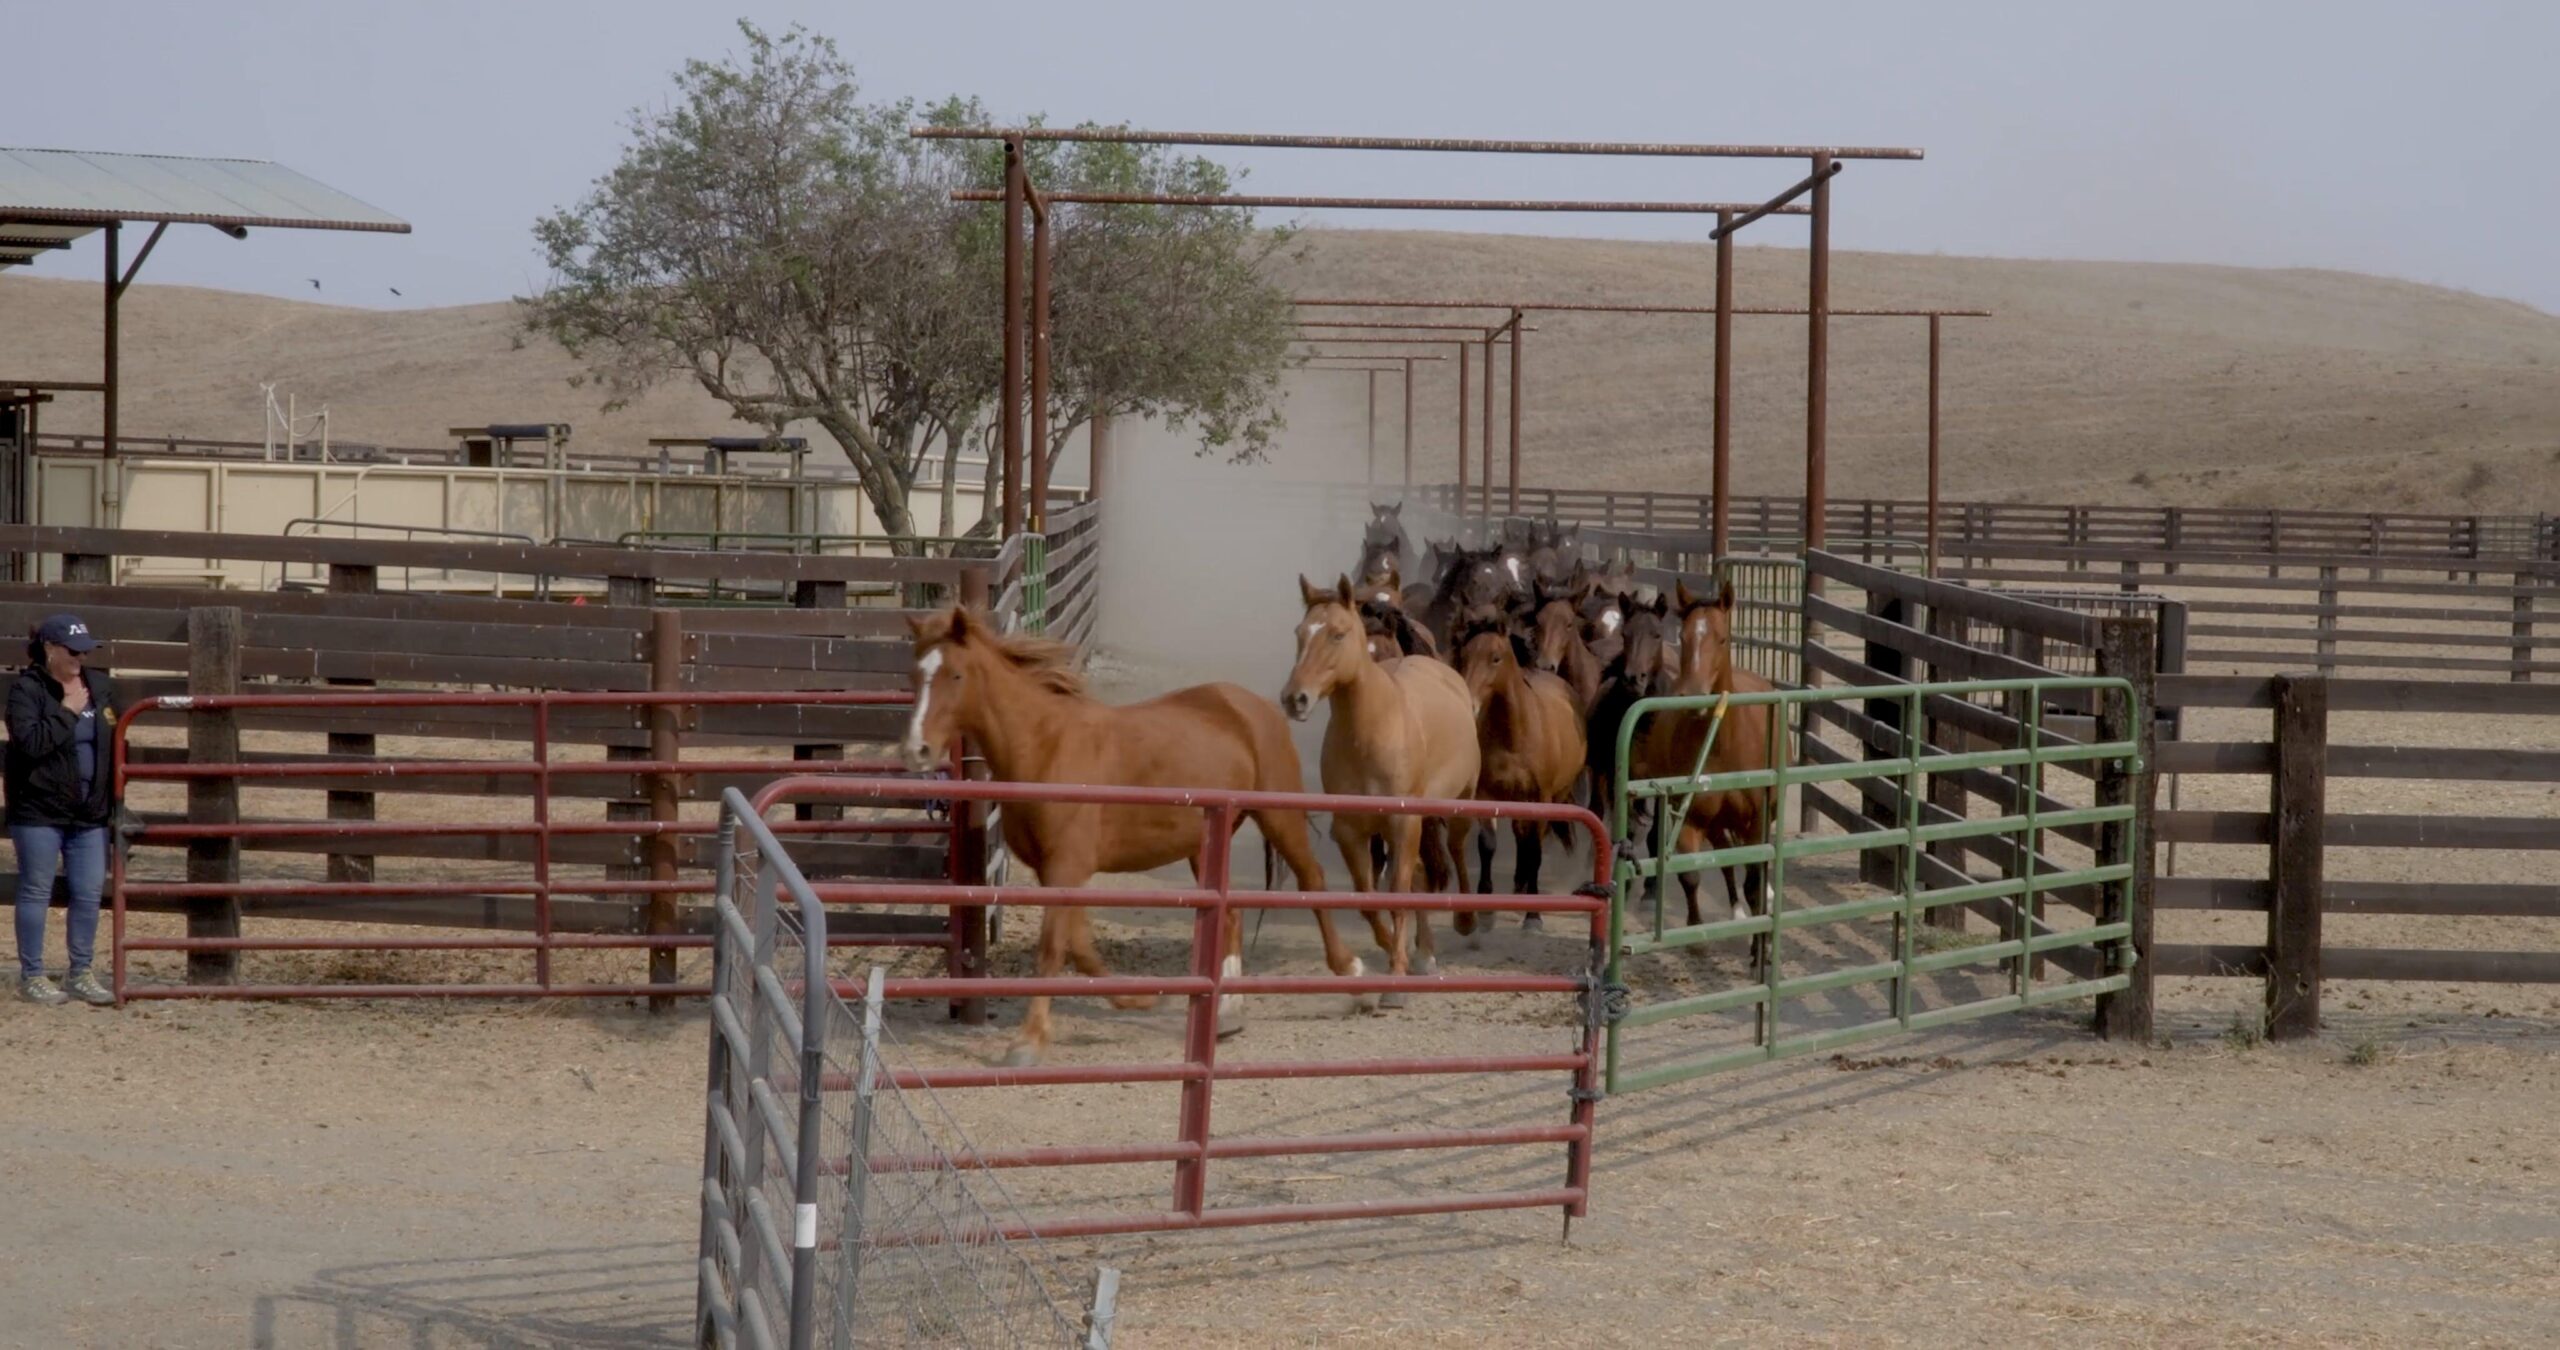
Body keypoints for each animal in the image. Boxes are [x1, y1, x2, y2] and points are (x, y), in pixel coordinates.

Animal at [896, 604, 1351, 1065]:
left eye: (955, 675)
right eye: (915, 674)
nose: (916, 750)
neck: (1047, 746)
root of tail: (1254, 705)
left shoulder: (1067, 866)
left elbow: (1053, 947)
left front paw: (1028, 1042)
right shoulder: (1056, 871)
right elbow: (1079, 947)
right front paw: (1139, 999)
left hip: (1279, 816)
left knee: (1312, 879)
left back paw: (1352, 975)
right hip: (1205, 844)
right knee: (1230, 914)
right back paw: (1227, 1015)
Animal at [1280, 576, 1484, 999]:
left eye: (1338, 633)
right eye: (1299, 633)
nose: (1295, 698)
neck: (1372, 731)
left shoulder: (1402, 824)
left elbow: (1398, 892)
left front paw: (1396, 978)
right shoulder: (1351, 832)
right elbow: (1371, 899)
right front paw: (1393, 954)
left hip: (1458, 804)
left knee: (1456, 849)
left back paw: (1466, 922)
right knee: (1422, 873)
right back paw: (1424, 953)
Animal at [1454, 607, 1587, 937]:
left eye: (1495, 658)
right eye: (1464, 656)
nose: (1469, 704)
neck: (1515, 735)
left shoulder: (1541, 799)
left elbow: (1535, 851)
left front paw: (1533, 916)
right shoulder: (1486, 796)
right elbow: (1488, 845)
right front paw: (1485, 911)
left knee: (1529, 841)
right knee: (1519, 836)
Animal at [1638, 578, 1781, 942]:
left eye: (1722, 638)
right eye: (1683, 637)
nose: (1693, 695)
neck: (1722, 750)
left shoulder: (1757, 820)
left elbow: (1755, 880)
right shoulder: (1691, 817)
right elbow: (1691, 875)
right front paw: (1696, 933)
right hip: (1718, 824)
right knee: (1727, 861)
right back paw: (1736, 912)